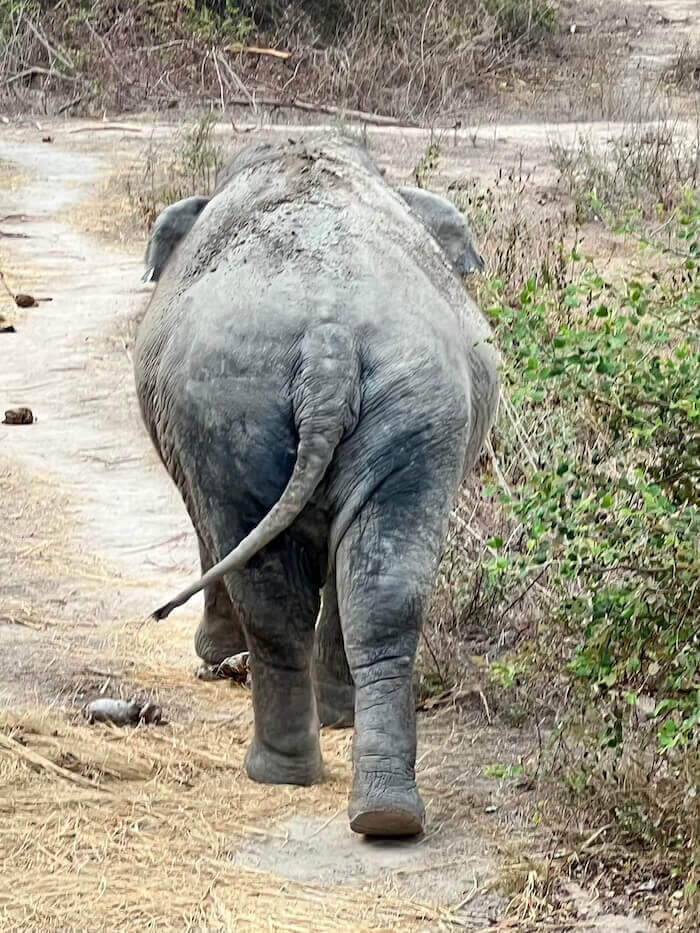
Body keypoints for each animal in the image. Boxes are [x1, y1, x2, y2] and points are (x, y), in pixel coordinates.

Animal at [134, 136, 500, 837]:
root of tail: (328, 344)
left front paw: (214, 654)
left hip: (229, 413)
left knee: (268, 587)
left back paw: (279, 770)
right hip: (413, 408)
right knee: (384, 590)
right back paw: (385, 812)